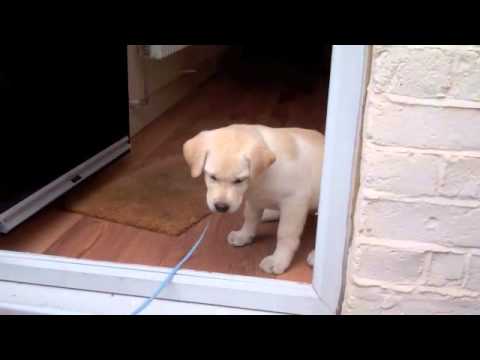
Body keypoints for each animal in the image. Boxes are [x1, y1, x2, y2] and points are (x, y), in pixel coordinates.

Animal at [184, 125, 326, 274]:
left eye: (239, 180)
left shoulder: (294, 201)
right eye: (212, 177)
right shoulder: (254, 199)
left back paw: (315, 257)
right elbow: (250, 218)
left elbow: (285, 234)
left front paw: (279, 260)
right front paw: (243, 235)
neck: (262, 176)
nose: (221, 207)